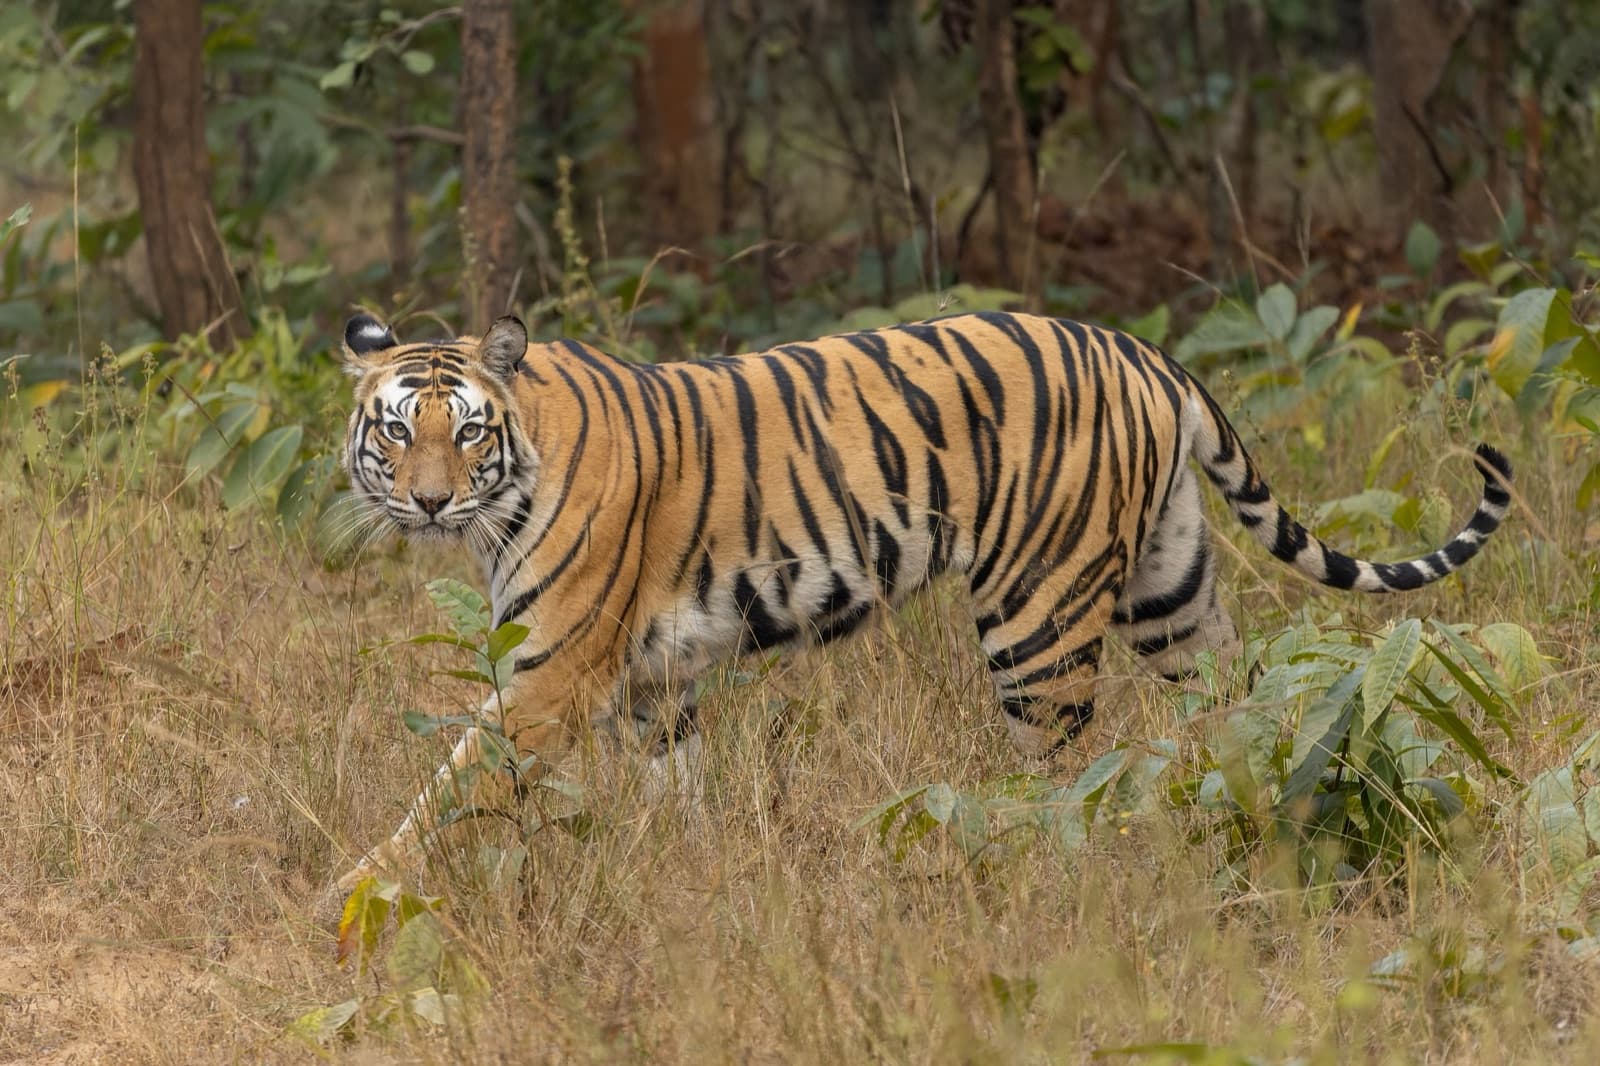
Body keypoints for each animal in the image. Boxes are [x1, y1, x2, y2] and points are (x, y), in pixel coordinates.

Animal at [334, 309, 1512, 887]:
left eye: (466, 430)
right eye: (395, 429)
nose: (429, 501)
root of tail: (1143, 351)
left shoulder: (552, 674)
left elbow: (445, 791)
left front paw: (355, 897)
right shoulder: (650, 686)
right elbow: (683, 795)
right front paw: (698, 877)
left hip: (1040, 617)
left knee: (1067, 777)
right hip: (1171, 593)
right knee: (1240, 709)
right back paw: (1254, 822)